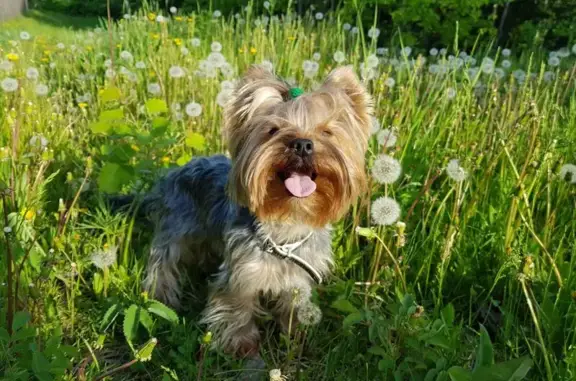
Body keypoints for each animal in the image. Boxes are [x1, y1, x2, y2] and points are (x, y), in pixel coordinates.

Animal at [133, 63, 372, 358]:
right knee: (163, 262)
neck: (288, 220)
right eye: (273, 130)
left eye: (327, 132)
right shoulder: (241, 272)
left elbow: (293, 305)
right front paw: (242, 345)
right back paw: (161, 297)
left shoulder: (299, 275)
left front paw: (294, 335)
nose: (302, 144)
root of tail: (173, 173)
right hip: (175, 226)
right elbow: (237, 305)